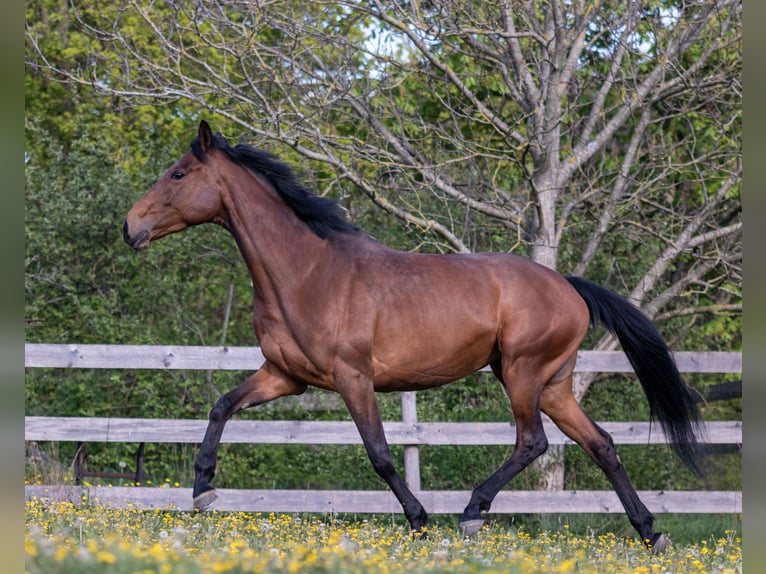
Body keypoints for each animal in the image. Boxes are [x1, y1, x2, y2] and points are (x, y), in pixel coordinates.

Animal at [123, 120, 703, 552]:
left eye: (178, 173)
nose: (130, 227)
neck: (308, 272)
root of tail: (568, 286)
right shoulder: (285, 376)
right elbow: (221, 406)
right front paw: (202, 491)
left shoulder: (352, 378)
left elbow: (380, 454)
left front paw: (420, 520)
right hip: (554, 384)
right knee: (601, 444)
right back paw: (650, 533)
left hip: (522, 373)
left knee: (532, 441)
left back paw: (471, 514)